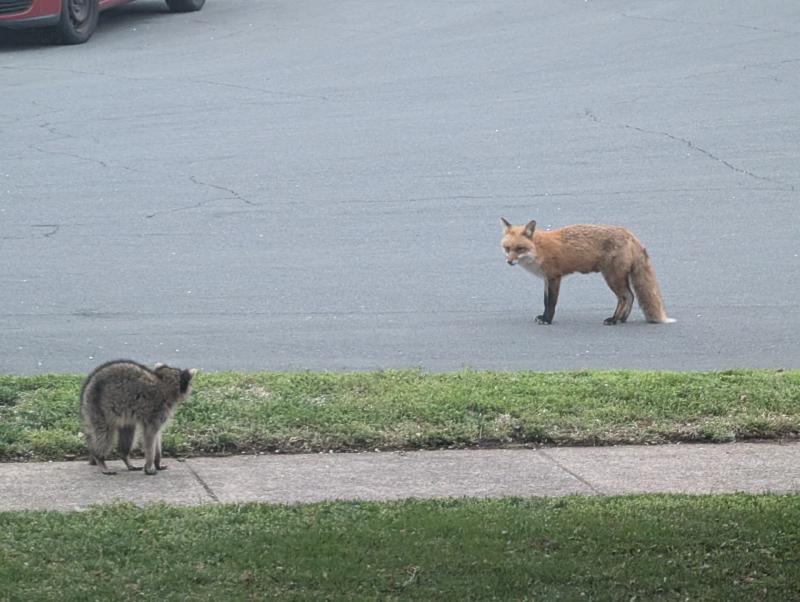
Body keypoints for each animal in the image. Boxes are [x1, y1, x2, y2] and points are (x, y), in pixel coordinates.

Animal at [501, 218, 675, 325]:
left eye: (520, 248)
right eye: (507, 248)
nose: (509, 262)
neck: (539, 249)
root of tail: (630, 235)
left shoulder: (554, 277)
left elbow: (551, 302)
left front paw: (547, 319)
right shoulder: (546, 279)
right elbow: (545, 301)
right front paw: (543, 317)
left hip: (612, 277)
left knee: (626, 297)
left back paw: (613, 319)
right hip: (618, 277)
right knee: (631, 296)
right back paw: (621, 319)